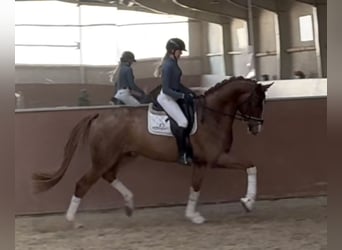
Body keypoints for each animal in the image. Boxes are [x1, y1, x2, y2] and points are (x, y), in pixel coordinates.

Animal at [32, 76, 272, 225]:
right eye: (256, 101)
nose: (257, 128)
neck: (213, 115)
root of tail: (99, 115)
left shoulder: (202, 162)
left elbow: (196, 187)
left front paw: (193, 214)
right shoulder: (214, 159)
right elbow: (249, 166)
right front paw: (247, 202)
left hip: (124, 156)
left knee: (109, 175)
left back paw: (129, 204)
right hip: (103, 158)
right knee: (83, 183)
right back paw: (73, 221)